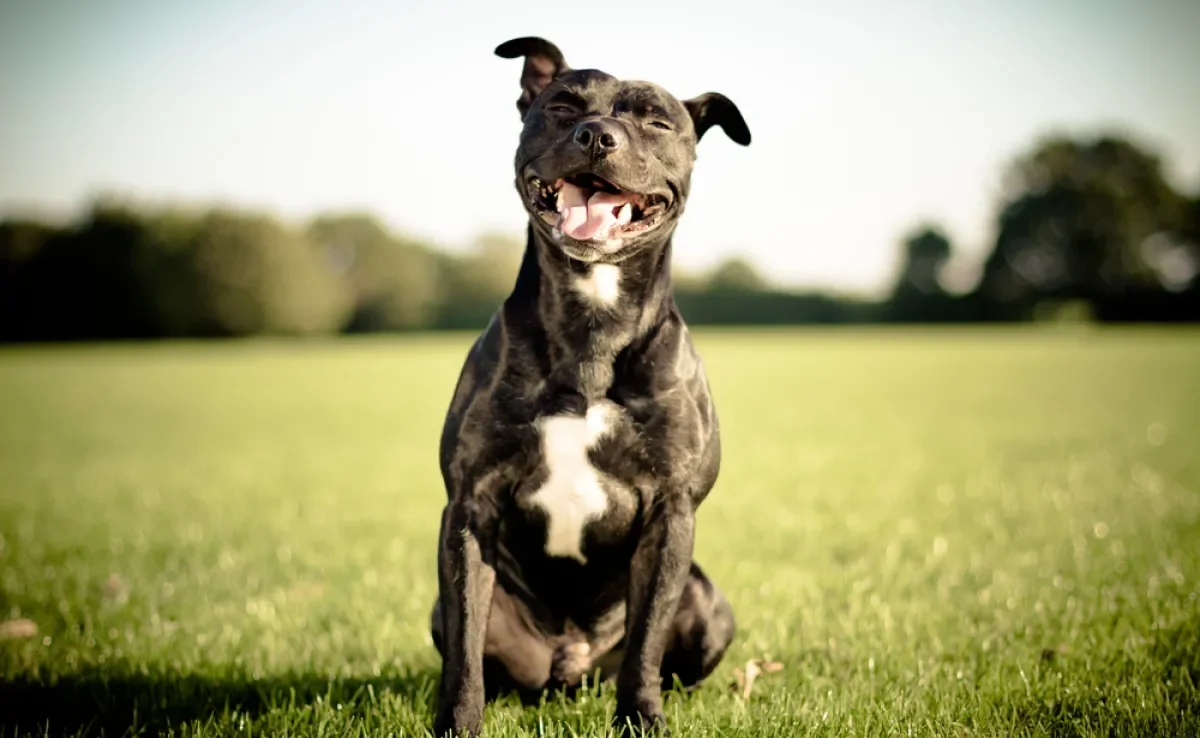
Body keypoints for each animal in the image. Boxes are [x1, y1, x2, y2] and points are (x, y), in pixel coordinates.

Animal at [432, 37, 748, 734]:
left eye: (657, 122)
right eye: (562, 106)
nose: (597, 135)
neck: (592, 324)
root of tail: (570, 666)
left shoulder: (670, 513)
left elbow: (647, 640)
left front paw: (641, 718)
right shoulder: (470, 506)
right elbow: (465, 647)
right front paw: (459, 723)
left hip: (709, 604)